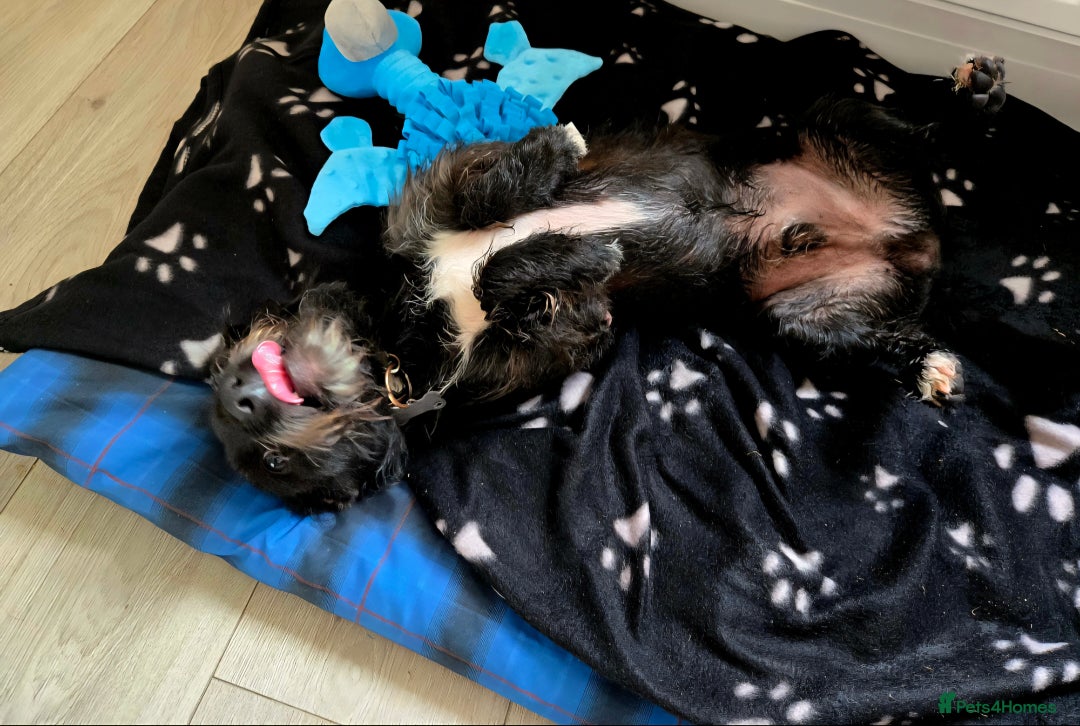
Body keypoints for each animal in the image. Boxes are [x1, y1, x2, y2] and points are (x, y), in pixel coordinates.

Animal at [211, 87, 1000, 514]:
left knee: (926, 135)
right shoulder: (569, 330)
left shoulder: (432, 199)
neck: (411, 328)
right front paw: (583, 253)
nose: (241, 399)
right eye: (273, 467)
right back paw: (929, 367)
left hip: (829, 118)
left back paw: (979, 95)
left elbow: (484, 198)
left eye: (221, 366)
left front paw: (556, 149)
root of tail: (912, 243)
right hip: (803, 319)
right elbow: (510, 280)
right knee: (868, 332)